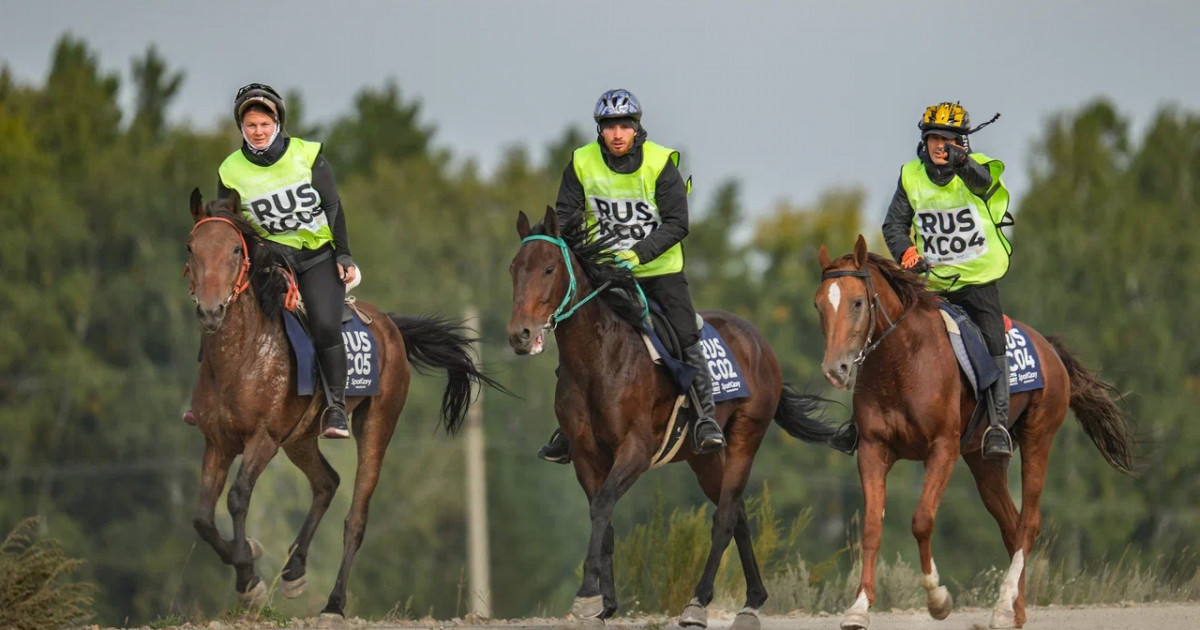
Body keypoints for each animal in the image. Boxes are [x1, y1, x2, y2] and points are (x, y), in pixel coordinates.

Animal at [183, 189, 501, 614]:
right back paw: (294, 571)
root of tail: (389, 325)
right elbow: (202, 518)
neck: (240, 358)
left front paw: (248, 578)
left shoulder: (263, 439)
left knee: (356, 516)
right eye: (192, 247)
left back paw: (333, 603)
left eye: (236, 249)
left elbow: (237, 498)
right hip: (300, 438)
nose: (210, 310)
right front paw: (249, 554)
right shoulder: (217, 442)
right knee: (327, 482)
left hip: (375, 425)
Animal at [508, 208, 844, 624]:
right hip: (704, 459)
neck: (598, 359)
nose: (520, 334)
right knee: (738, 513)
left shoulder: (635, 451)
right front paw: (606, 604)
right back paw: (753, 599)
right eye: (514, 268)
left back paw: (698, 603)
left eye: (549, 268)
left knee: (725, 518)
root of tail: (759, 342)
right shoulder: (586, 456)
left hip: (746, 437)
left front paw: (587, 594)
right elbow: (603, 517)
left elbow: (603, 506)